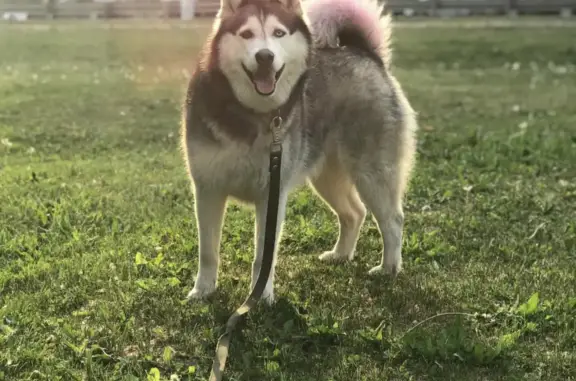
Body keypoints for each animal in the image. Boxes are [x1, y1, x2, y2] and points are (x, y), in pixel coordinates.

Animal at [183, 0, 418, 302]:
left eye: (279, 33)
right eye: (246, 34)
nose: (265, 56)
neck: (251, 114)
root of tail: (365, 54)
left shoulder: (272, 193)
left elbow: (264, 255)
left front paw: (261, 296)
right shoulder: (208, 189)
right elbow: (208, 251)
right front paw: (203, 290)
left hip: (372, 173)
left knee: (393, 220)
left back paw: (389, 268)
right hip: (327, 177)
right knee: (355, 213)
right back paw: (341, 255)